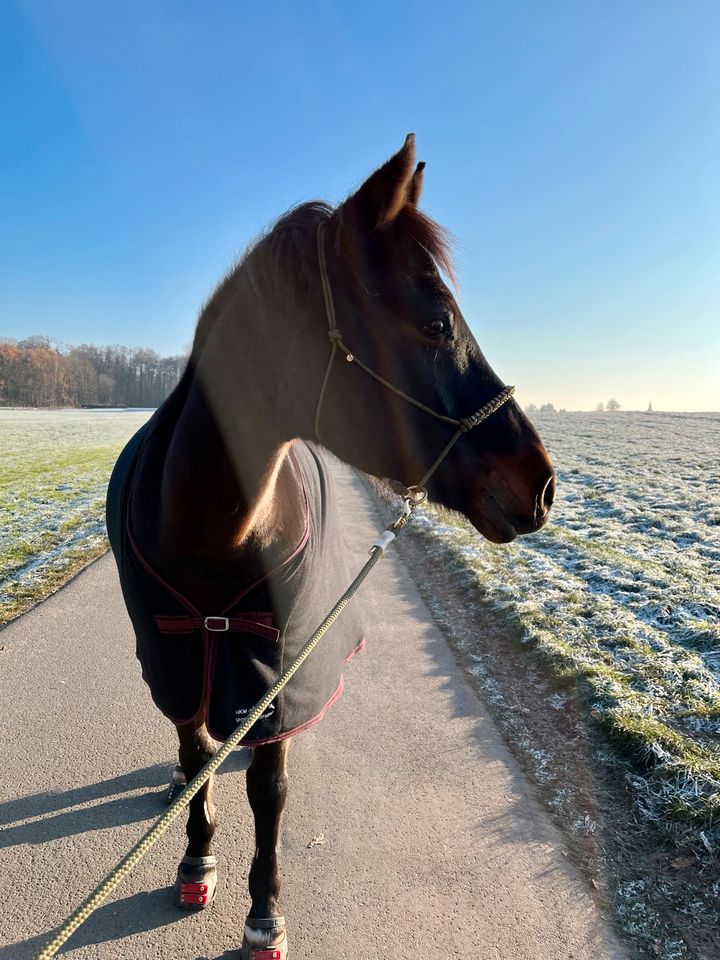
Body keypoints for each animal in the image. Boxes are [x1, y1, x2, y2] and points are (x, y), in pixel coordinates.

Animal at [107, 135, 556, 960]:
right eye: (437, 323)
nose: (541, 482)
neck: (209, 530)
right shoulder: (177, 656)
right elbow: (194, 753)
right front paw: (196, 855)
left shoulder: (276, 672)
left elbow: (269, 789)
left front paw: (264, 910)